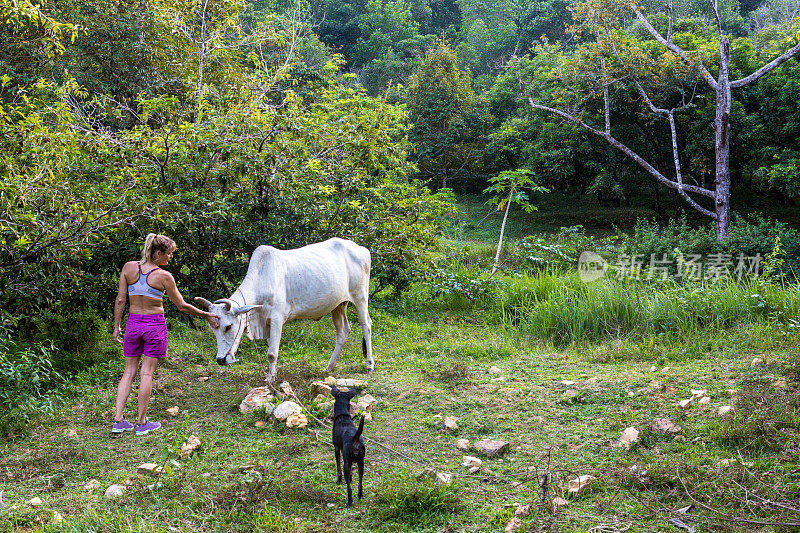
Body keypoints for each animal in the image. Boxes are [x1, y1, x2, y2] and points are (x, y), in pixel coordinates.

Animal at [198, 236, 376, 378]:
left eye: (228, 326)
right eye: (213, 329)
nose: (220, 360)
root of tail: (362, 249)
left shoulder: (277, 319)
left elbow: (272, 354)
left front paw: (270, 380)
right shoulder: (268, 323)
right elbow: (271, 349)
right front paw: (273, 374)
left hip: (360, 297)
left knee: (366, 325)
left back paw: (369, 364)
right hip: (338, 305)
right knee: (343, 332)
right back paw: (329, 367)